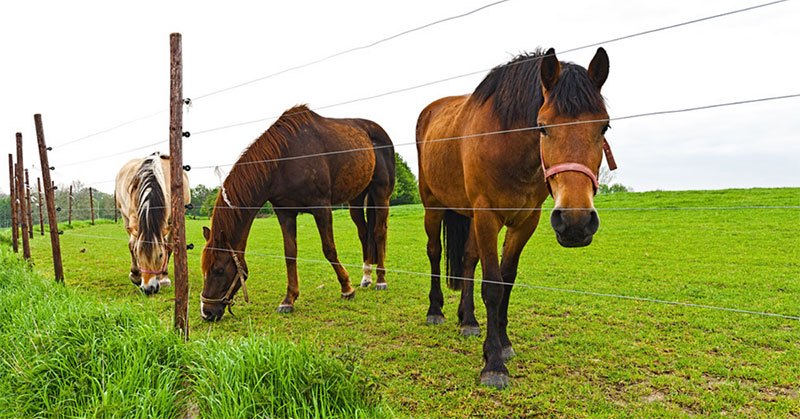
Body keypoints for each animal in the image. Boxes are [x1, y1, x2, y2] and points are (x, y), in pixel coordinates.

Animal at [115, 153, 190, 296]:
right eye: (139, 254)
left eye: (160, 255)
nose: (148, 289)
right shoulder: (133, 217)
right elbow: (132, 245)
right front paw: (135, 276)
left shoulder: (172, 221)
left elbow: (169, 247)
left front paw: (164, 278)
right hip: (123, 215)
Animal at [202, 105, 396, 322]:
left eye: (219, 270)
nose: (207, 312)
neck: (284, 159)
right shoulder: (285, 213)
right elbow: (290, 254)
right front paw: (289, 299)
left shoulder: (322, 208)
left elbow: (329, 249)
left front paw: (346, 288)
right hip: (356, 199)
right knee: (364, 233)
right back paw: (366, 277)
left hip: (381, 194)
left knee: (379, 232)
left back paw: (380, 280)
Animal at [418, 47, 620, 388]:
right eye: (542, 126)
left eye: (603, 127)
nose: (576, 222)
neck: (507, 147)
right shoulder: (487, 217)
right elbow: (493, 286)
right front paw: (493, 365)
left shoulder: (526, 221)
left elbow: (507, 280)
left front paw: (503, 343)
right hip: (433, 206)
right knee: (435, 252)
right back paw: (436, 311)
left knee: (468, 260)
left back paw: (468, 319)